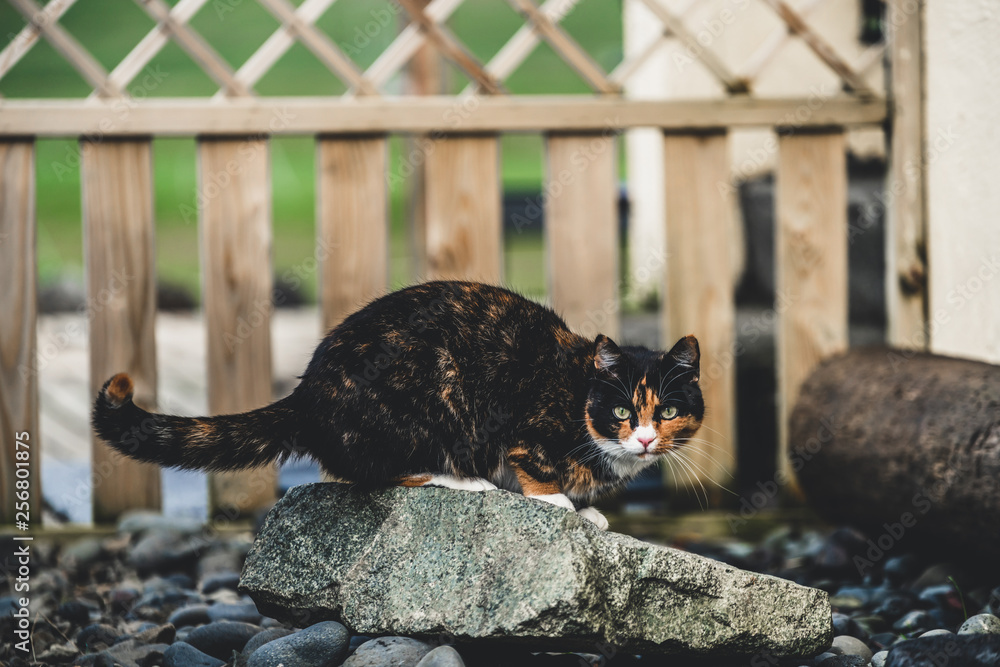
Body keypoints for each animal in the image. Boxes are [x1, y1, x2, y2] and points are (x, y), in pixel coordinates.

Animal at [92, 280, 704, 528]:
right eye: (622, 411)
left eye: (668, 412)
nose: (645, 437)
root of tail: (308, 394)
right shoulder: (524, 426)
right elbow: (533, 464)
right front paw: (559, 503)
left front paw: (588, 510)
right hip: (426, 395)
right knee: (372, 473)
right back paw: (464, 481)